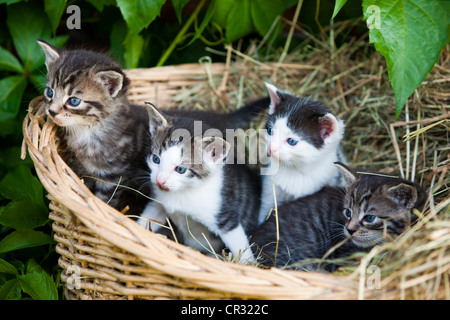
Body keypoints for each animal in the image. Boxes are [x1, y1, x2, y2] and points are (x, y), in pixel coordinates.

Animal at [37, 40, 149, 215]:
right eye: (50, 92)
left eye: (74, 101)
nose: (52, 111)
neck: (87, 132)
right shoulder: (81, 168)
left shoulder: (113, 176)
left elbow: (104, 201)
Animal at [139, 105, 262, 262]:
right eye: (156, 159)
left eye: (180, 169)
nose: (160, 180)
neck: (182, 192)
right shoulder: (159, 203)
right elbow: (147, 219)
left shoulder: (226, 218)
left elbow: (240, 246)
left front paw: (248, 264)